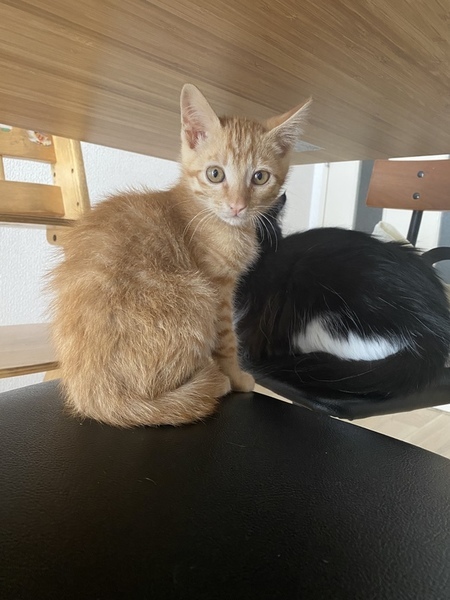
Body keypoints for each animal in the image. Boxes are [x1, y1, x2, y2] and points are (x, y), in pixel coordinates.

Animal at [49, 84, 311, 427]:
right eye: (215, 174)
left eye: (260, 177)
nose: (237, 206)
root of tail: (95, 397)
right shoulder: (218, 290)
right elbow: (227, 340)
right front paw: (236, 376)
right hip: (196, 297)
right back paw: (212, 381)